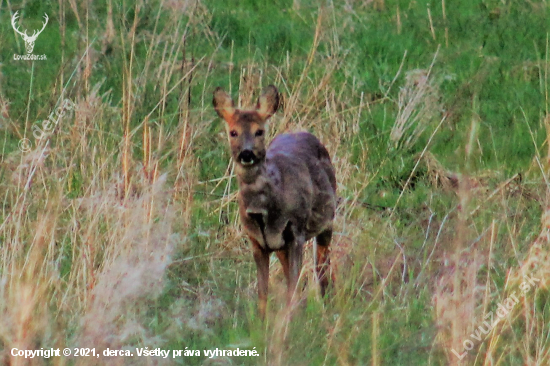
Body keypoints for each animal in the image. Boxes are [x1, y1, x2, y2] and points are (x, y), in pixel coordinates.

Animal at [213, 84, 338, 318]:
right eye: (233, 132)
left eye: (259, 131)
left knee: (322, 266)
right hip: (280, 245)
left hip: (327, 219)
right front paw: (262, 323)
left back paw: (328, 306)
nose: (246, 153)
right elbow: (263, 292)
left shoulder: (296, 232)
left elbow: (291, 287)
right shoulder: (256, 241)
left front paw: (287, 323)